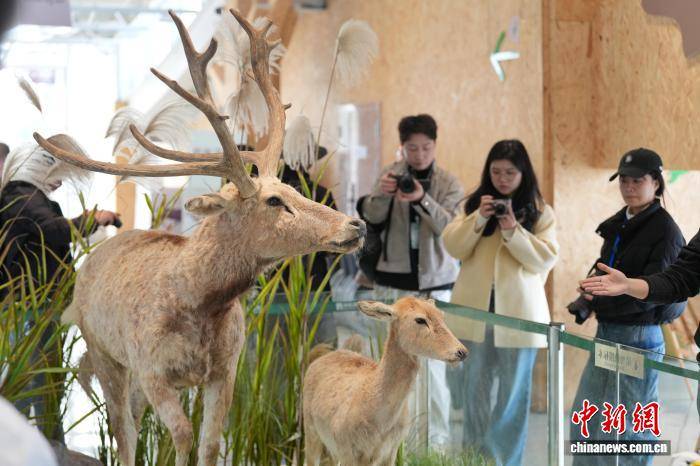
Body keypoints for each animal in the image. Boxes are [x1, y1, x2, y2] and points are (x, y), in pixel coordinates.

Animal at [32, 9, 366, 466]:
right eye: (275, 201)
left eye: (295, 189)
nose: (355, 225)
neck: (201, 304)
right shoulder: (152, 369)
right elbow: (181, 436)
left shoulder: (225, 370)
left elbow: (210, 443)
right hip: (102, 351)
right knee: (123, 431)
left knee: (131, 421)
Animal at [302, 297, 468, 466]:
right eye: (420, 320)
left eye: (442, 315)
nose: (461, 351)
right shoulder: (347, 451)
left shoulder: (391, 451)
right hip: (311, 433)